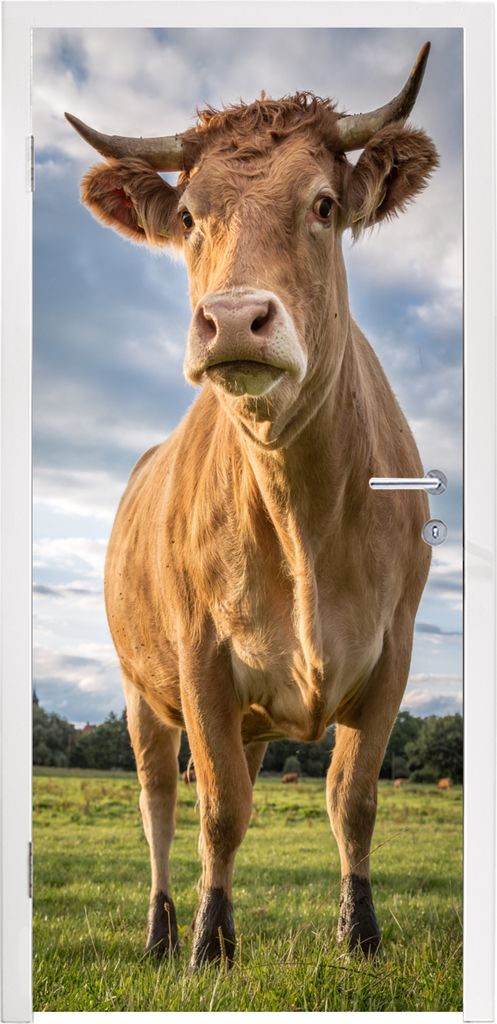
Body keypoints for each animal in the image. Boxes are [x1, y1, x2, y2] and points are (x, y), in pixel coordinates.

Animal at [66, 42, 437, 968]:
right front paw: (208, 942)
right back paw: (162, 928)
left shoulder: (392, 654)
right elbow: (220, 810)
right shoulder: (198, 659)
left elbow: (351, 800)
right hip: (139, 693)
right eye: (188, 217)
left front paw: (359, 933)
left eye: (323, 204)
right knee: (160, 807)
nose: (233, 319)